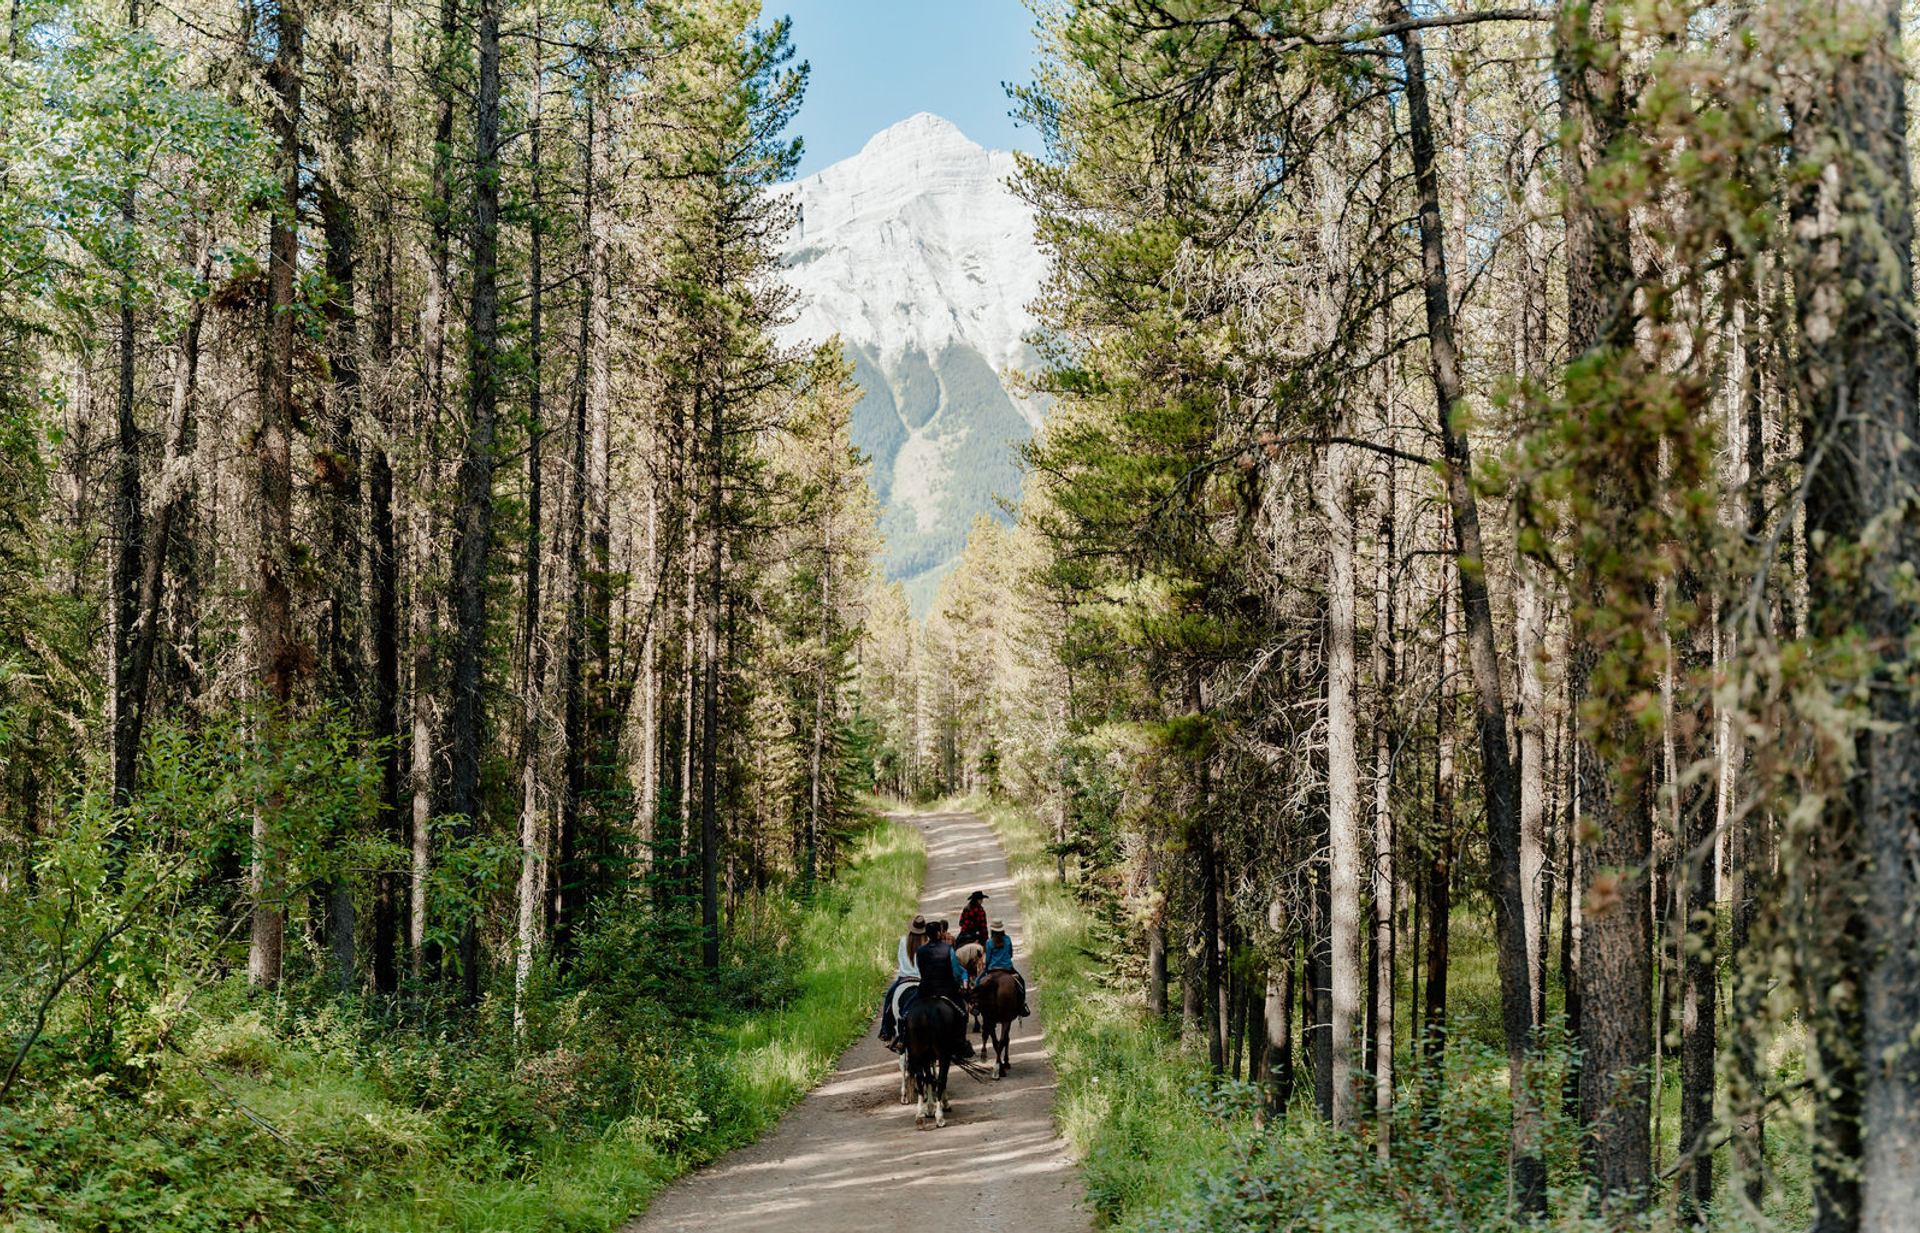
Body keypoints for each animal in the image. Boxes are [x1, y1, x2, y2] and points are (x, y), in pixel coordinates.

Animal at [894, 991, 967, 1129]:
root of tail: (927, 1012)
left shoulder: (926, 1058)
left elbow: (928, 1078)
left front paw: (929, 1108)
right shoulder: (942, 1056)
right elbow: (937, 1079)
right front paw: (941, 1105)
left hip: (917, 1054)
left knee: (920, 1079)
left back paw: (919, 1117)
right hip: (943, 1055)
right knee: (941, 1080)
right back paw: (940, 1117)